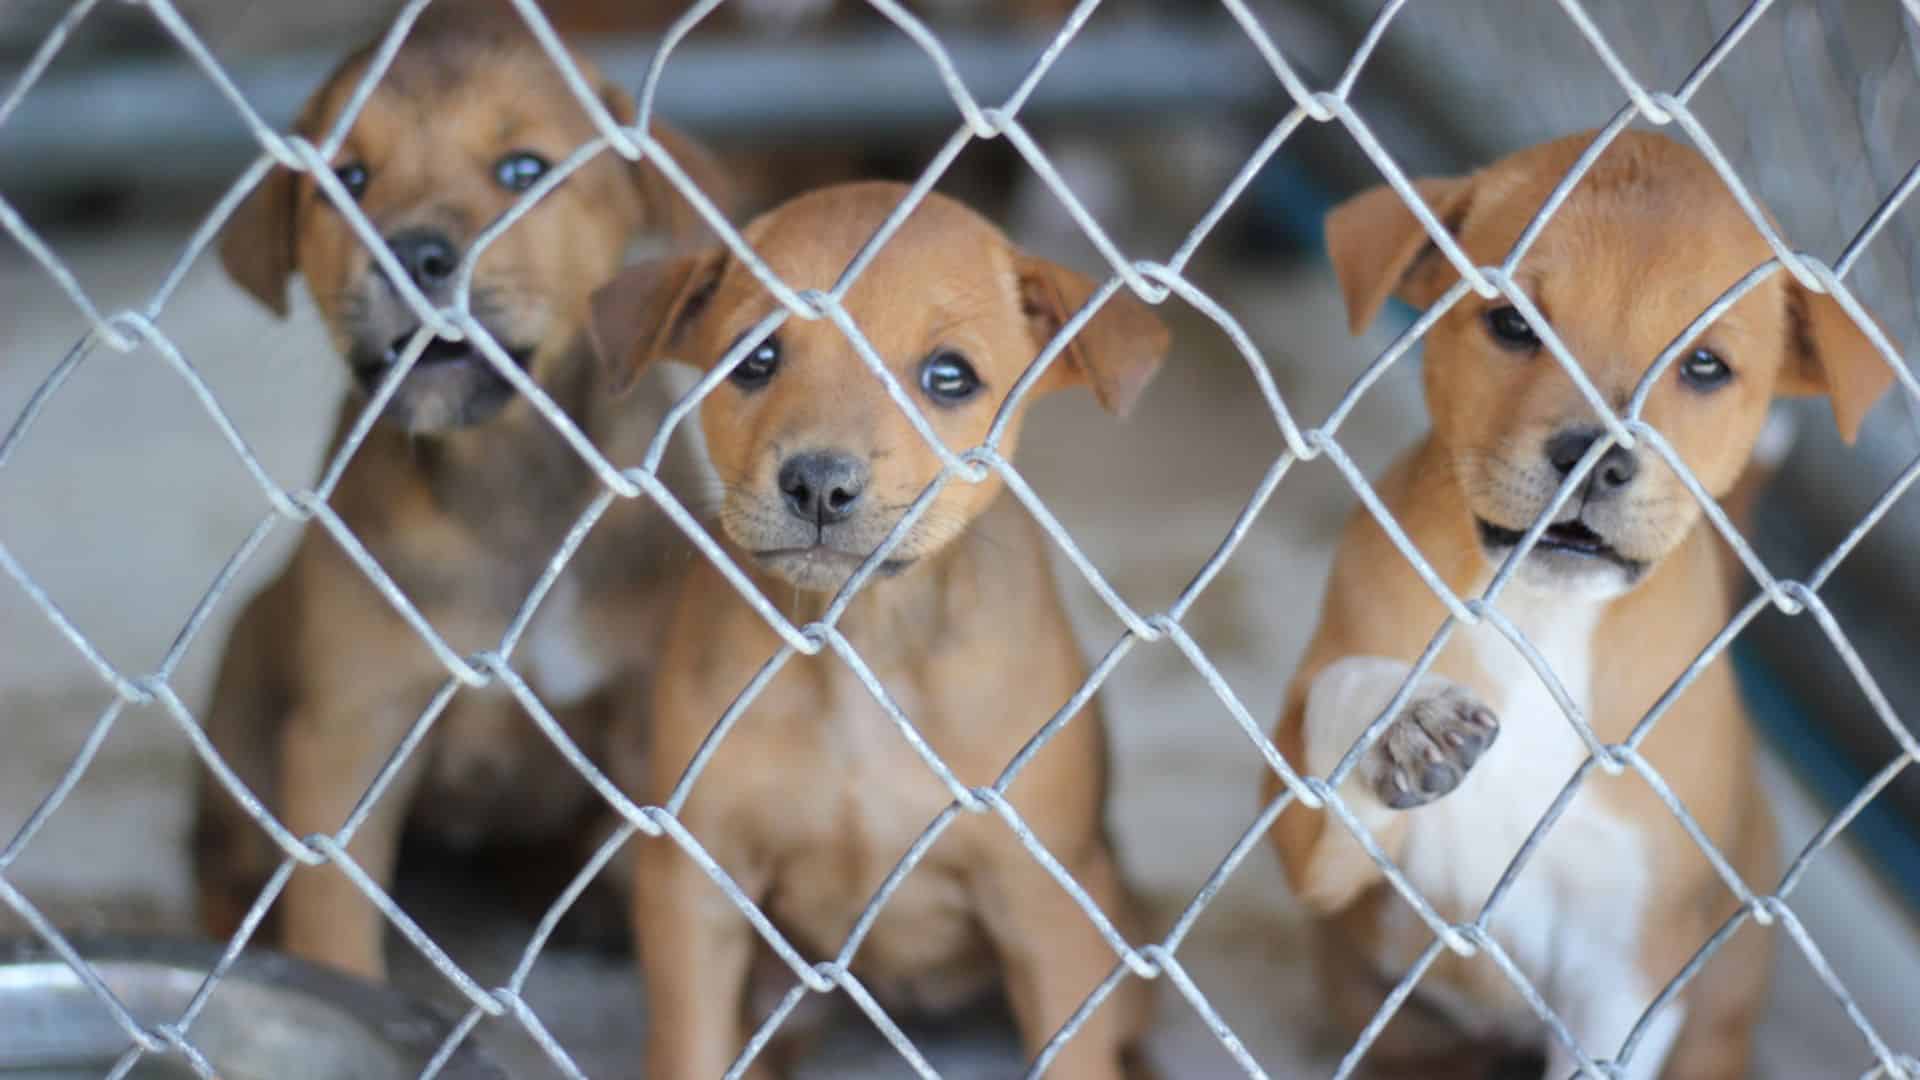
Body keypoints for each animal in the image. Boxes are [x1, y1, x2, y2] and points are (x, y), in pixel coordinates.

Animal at [194, 12, 729, 980]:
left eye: (523, 171)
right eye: (348, 180)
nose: (410, 255)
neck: (500, 483)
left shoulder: (642, 716)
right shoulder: (350, 733)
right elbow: (331, 916)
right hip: (245, 690)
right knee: (222, 857)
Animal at [587, 180, 1167, 1068]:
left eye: (950, 376)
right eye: (754, 357)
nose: (820, 484)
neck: (863, 642)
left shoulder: (1048, 906)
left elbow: (1075, 1057)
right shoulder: (694, 885)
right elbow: (692, 1048)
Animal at [1259, 132, 1889, 1076]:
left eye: (1705, 365)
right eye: (1514, 323)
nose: (1597, 457)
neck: (1542, 620)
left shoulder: (1627, 970)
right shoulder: (1316, 848)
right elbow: (1340, 700)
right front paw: (1406, 716)